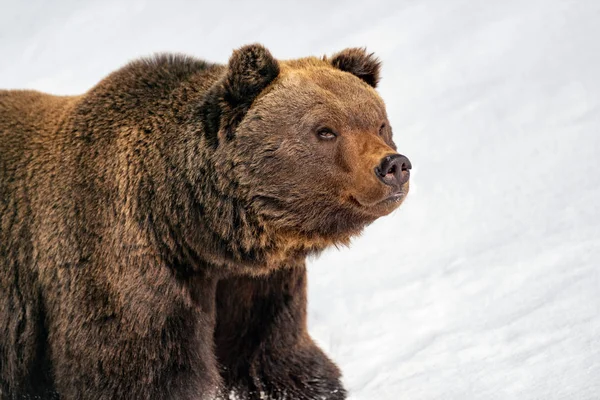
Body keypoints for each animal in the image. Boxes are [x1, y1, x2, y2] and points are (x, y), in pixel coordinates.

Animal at [0, 44, 408, 400]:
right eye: (325, 130)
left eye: (379, 123)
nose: (394, 165)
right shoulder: (122, 266)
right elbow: (141, 373)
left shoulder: (254, 285)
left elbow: (272, 360)